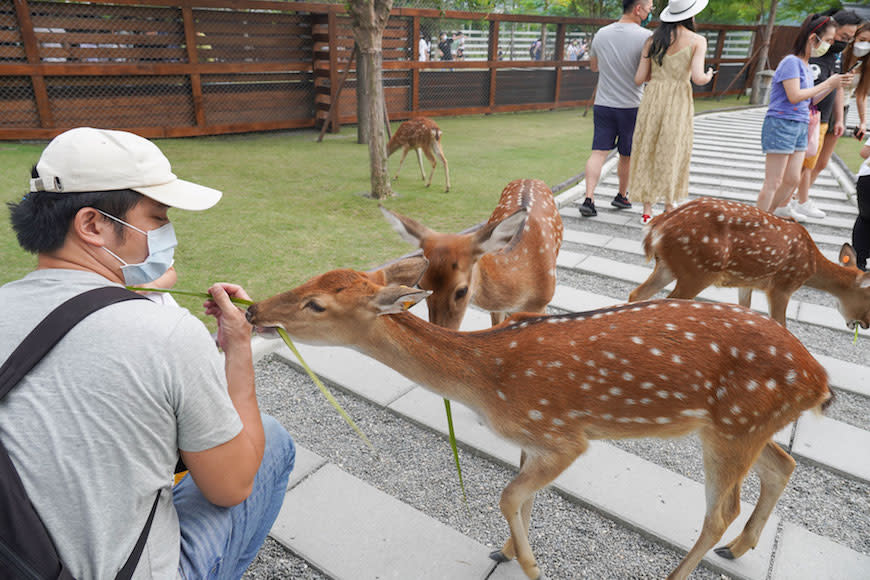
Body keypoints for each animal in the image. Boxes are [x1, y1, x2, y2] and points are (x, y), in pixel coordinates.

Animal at [249, 256, 836, 580]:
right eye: (307, 280)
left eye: (317, 305)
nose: (253, 310)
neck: (487, 384)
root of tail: (818, 379)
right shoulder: (532, 437)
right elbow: (524, 498)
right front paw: (507, 552)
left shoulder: (563, 435)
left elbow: (510, 495)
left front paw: (532, 566)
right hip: (744, 426)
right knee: (782, 465)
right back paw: (738, 550)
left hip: (733, 426)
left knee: (721, 509)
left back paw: (678, 574)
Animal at [632, 197, 870, 328]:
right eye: (869, 299)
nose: (865, 325)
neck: (811, 266)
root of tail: (657, 227)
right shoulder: (782, 285)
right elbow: (782, 324)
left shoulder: (748, 282)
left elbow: (744, 309)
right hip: (699, 270)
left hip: (669, 267)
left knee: (637, 295)